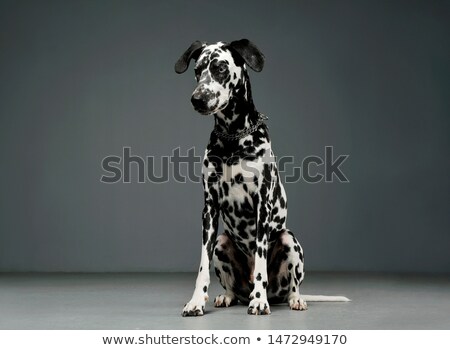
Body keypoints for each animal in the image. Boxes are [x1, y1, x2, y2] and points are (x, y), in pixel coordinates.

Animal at [175, 39, 348, 316]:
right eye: (197, 70)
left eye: (220, 68)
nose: (197, 99)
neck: (233, 138)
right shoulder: (209, 210)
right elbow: (202, 265)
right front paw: (196, 301)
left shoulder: (262, 207)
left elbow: (260, 262)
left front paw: (259, 300)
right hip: (222, 242)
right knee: (232, 287)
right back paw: (227, 296)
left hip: (290, 241)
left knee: (292, 286)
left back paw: (292, 299)